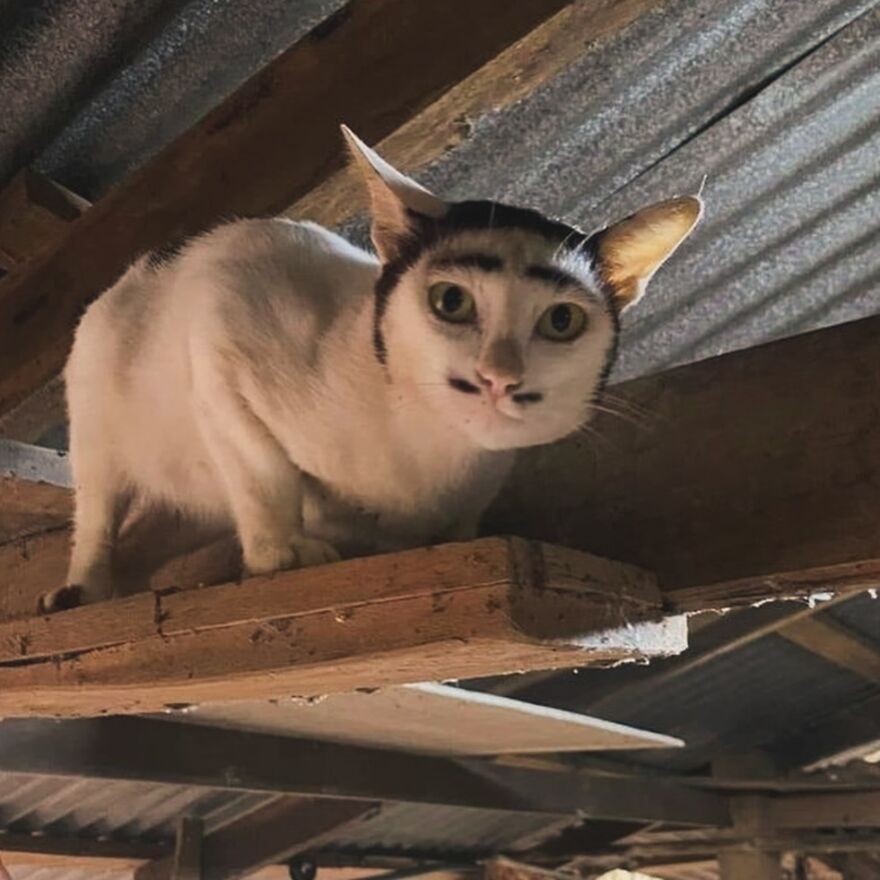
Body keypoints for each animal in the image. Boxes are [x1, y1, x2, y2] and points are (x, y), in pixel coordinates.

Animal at [39, 127, 700, 612]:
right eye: (451, 302)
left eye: (562, 321)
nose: (498, 377)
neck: (429, 458)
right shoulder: (221, 314)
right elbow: (261, 469)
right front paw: (280, 551)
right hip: (98, 419)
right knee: (98, 511)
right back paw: (84, 588)